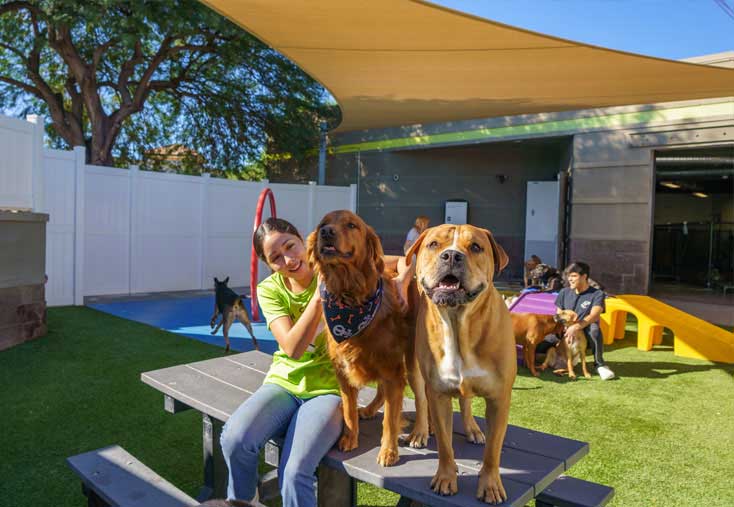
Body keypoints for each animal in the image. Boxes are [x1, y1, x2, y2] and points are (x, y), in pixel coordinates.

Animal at [306, 211, 432, 468]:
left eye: (351, 225)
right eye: (323, 224)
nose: (326, 232)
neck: (350, 298)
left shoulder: (393, 370)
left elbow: (391, 420)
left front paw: (388, 451)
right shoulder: (343, 371)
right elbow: (348, 411)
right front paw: (350, 438)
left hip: (411, 361)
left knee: (423, 396)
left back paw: (422, 430)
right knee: (382, 390)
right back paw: (371, 409)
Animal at [408, 225, 516, 504]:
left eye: (476, 247)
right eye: (434, 244)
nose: (451, 255)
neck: (458, 324)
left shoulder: (499, 399)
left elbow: (493, 450)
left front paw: (490, 485)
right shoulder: (438, 395)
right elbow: (445, 445)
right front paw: (446, 477)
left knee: (466, 401)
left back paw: (472, 429)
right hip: (415, 371)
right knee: (421, 400)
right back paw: (421, 431)